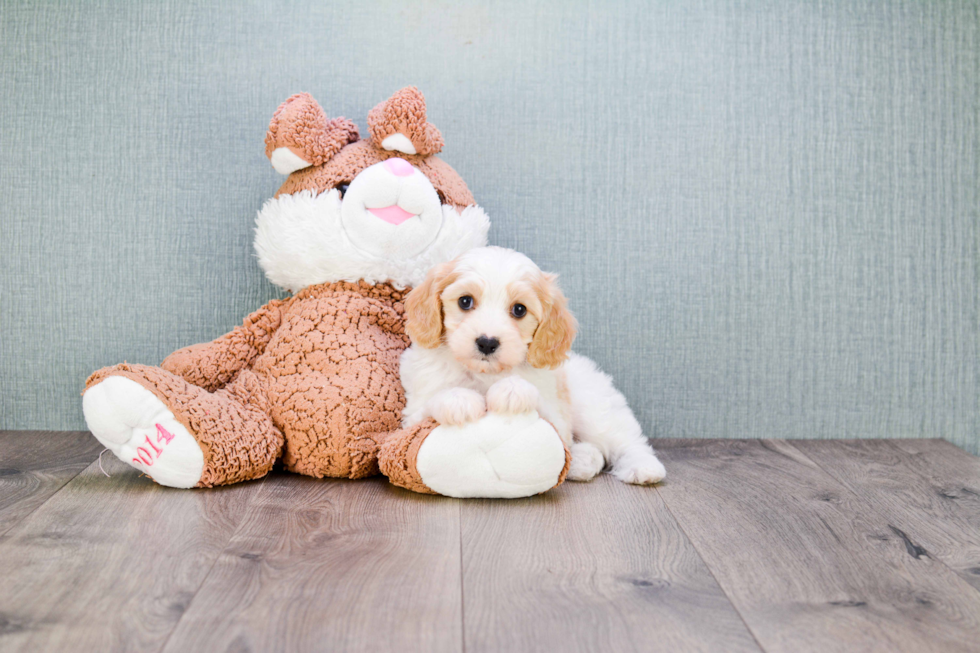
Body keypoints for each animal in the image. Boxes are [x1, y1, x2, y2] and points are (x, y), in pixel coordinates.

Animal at [398, 244, 668, 484]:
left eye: (519, 309)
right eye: (465, 301)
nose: (487, 342)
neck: (486, 373)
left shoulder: (556, 415)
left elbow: (540, 407)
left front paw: (511, 390)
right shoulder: (414, 413)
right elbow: (432, 401)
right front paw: (458, 399)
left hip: (594, 406)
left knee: (625, 440)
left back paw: (643, 468)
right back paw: (581, 462)